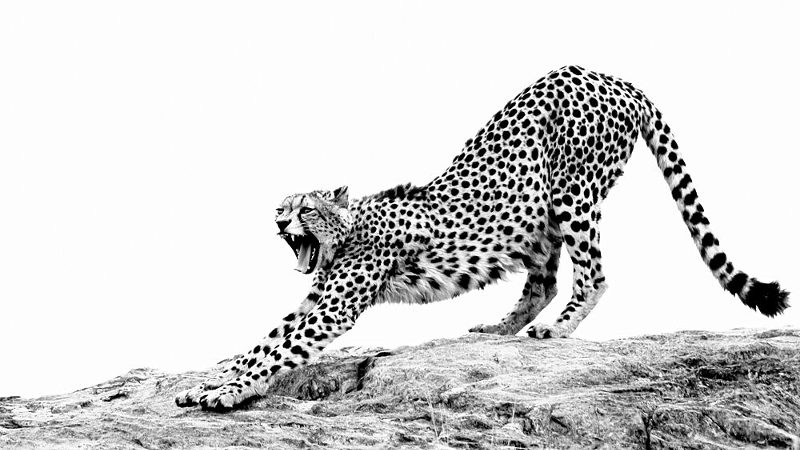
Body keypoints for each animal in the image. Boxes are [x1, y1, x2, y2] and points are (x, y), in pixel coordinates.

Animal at [175, 65, 789, 411]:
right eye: (279, 209)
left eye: (304, 208)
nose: (280, 224)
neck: (346, 232)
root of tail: (612, 77)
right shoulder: (313, 298)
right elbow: (261, 342)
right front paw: (214, 378)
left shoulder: (334, 307)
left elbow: (279, 351)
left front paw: (226, 392)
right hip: (538, 217)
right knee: (543, 282)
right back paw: (500, 327)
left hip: (573, 195)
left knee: (593, 274)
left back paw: (554, 330)